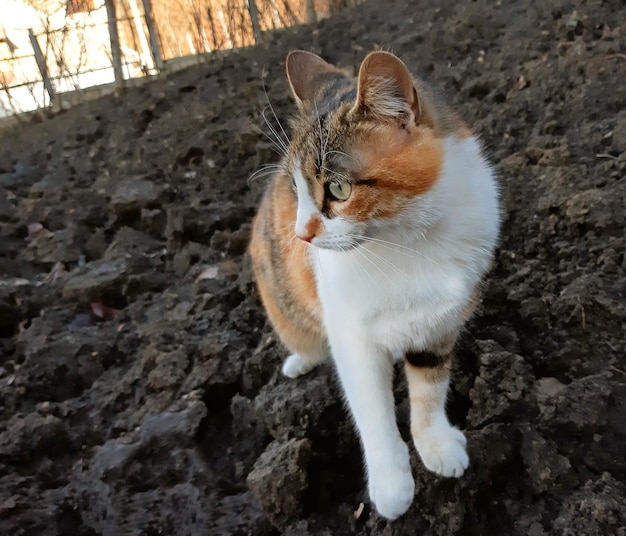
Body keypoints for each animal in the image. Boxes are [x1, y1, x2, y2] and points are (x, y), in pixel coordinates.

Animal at [249, 50, 498, 520]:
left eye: (338, 188)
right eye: (296, 189)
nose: (301, 235)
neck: (408, 241)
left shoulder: (440, 322)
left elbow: (429, 390)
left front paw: (437, 445)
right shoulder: (351, 336)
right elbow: (373, 411)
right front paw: (391, 485)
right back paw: (299, 362)